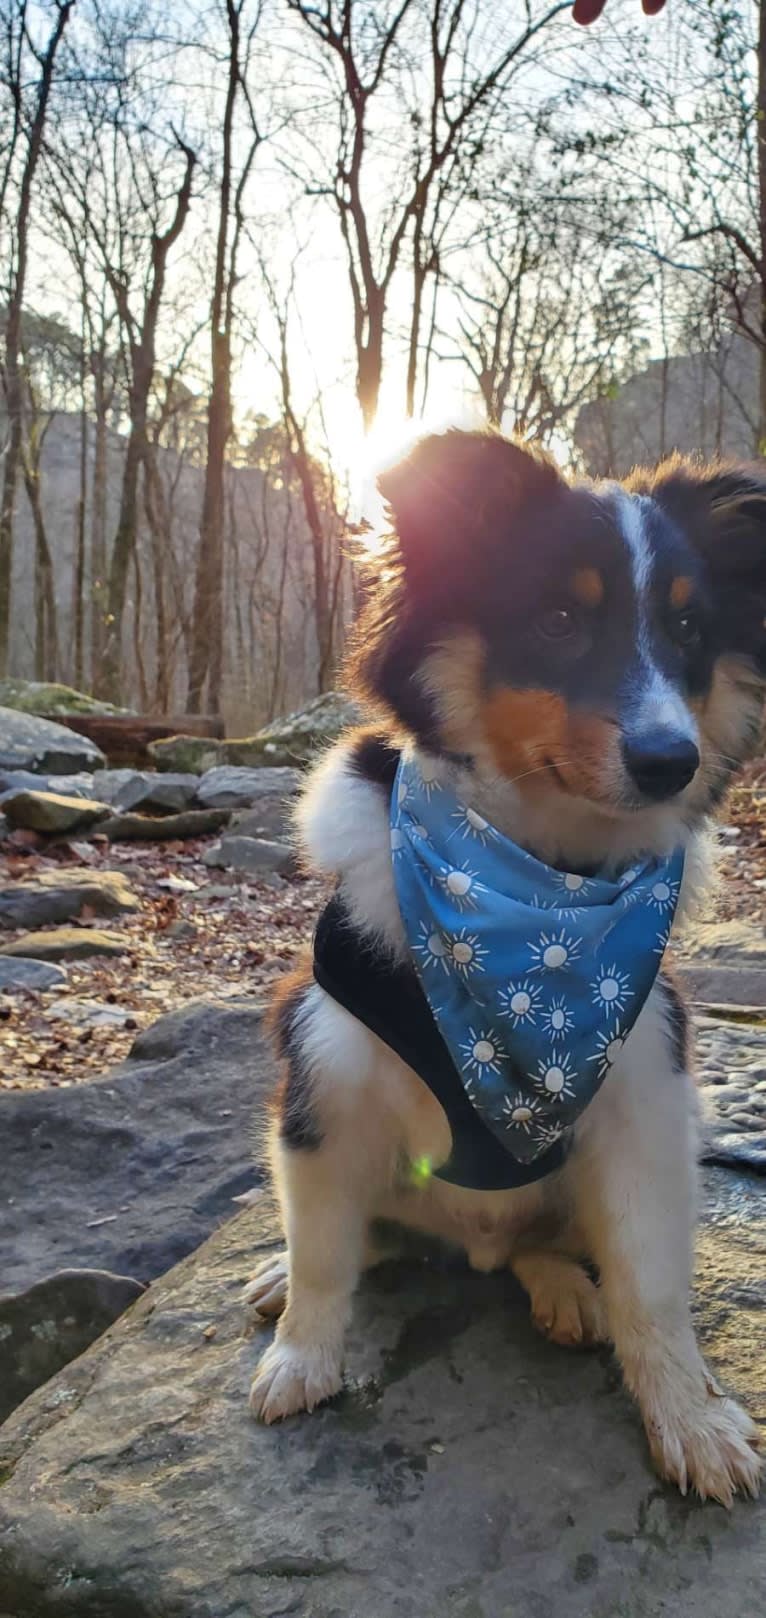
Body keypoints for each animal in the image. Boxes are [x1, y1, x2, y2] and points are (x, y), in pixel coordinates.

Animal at [244, 427, 764, 1501]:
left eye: (689, 631)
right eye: (560, 618)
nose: (673, 762)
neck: (537, 898)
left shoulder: (648, 1093)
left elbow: (652, 1281)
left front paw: (691, 1418)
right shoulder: (325, 1074)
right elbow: (322, 1252)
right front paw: (302, 1357)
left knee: (544, 1246)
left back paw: (564, 1288)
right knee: (360, 1232)